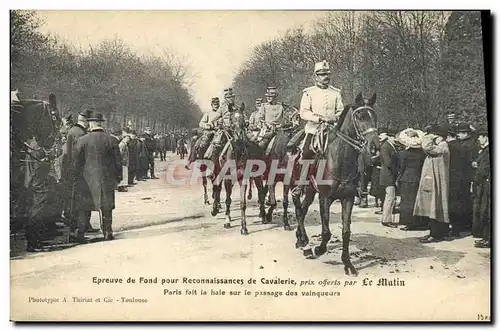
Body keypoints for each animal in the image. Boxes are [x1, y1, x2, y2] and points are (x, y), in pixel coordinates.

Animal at [290, 92, 378, 276]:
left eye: (375, 116)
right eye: (360, 116)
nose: (374, 147)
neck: (340, 160)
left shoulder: (348, 198)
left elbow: (346, 232)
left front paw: (348, 263)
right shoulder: (324, 197)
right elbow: (326, 231)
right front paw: (319, 249)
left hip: (310, 191)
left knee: (303, 209)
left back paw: (301, 240)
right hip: (294, 185)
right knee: (298, 209)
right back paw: (306, 246)